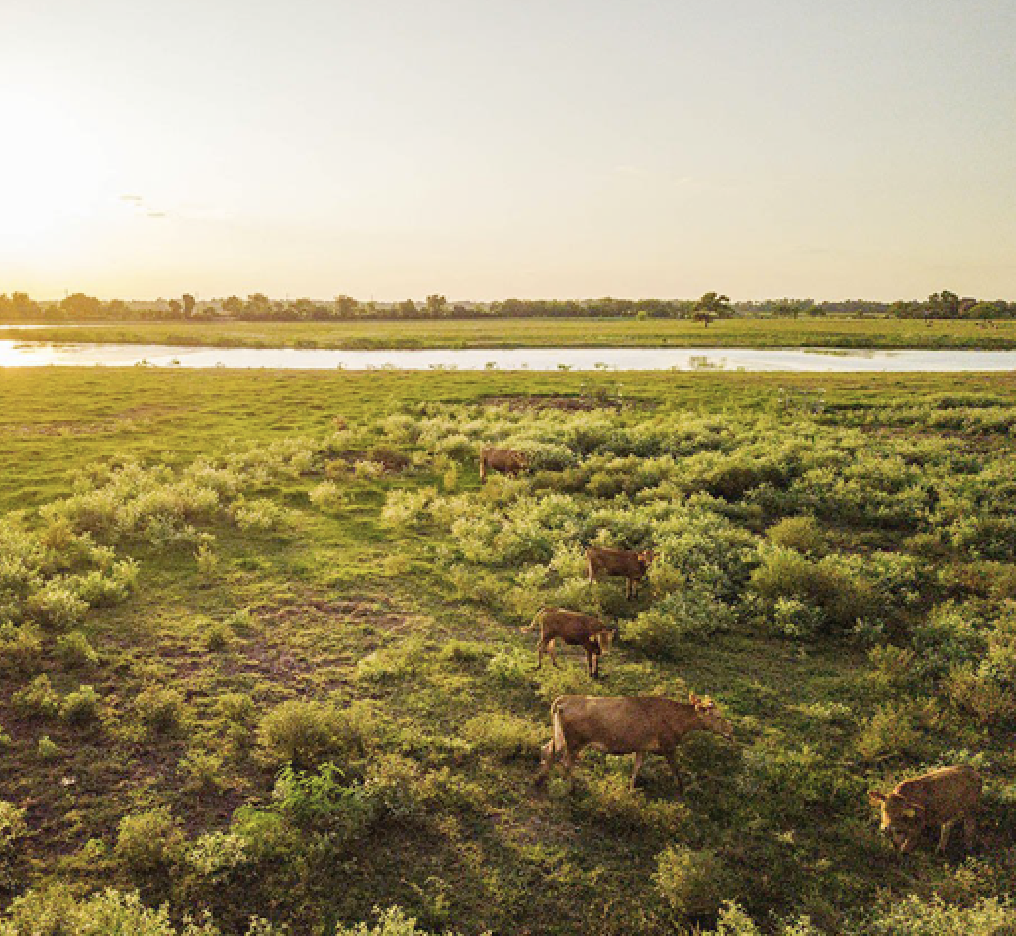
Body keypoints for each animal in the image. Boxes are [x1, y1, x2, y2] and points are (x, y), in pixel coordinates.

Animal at [535, 693, 734, 793]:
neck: (679, 722)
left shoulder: (641, 747)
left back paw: (540, 780)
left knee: (548, 749)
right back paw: (571, 789)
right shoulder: (668, 745)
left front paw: (631, 790)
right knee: (566, 762)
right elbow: (676, 771)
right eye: (718, 716)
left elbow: (636, 769)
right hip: (576, 741)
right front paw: (682, 790)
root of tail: (562, 700)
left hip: (561, 736)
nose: (730, 732)